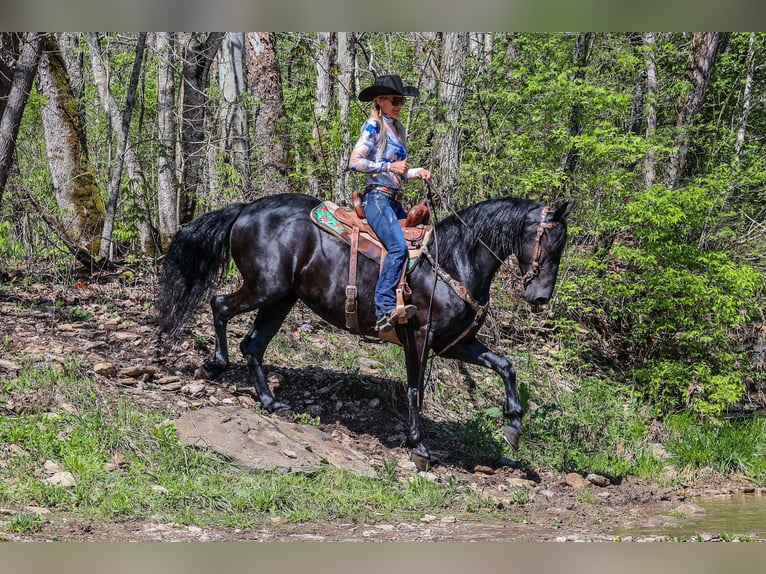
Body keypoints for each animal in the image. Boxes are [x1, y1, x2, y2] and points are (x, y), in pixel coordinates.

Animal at [156, 194, 572, 464]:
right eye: (548, 241)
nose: (539, 297)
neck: (454, 259)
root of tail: (245, 209)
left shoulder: (457, 343)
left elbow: (505, 366)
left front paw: (514, 425)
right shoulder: (419, 338)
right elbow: (415, 390)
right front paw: (418, 446)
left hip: (281, 299)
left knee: (253, 345)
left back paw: (271, 402)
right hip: (265, 288)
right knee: (220, 306)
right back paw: (215, 365)